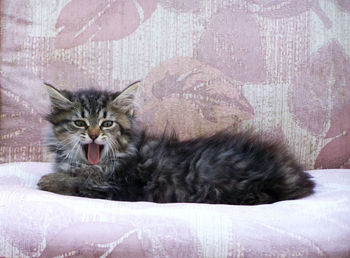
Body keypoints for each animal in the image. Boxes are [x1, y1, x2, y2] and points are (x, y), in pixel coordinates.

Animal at [38, 81, 314, 205]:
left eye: (107, 124)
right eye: (80, 123)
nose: (94, 134)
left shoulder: (123, 187)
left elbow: (82, 183)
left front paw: (50, 180)